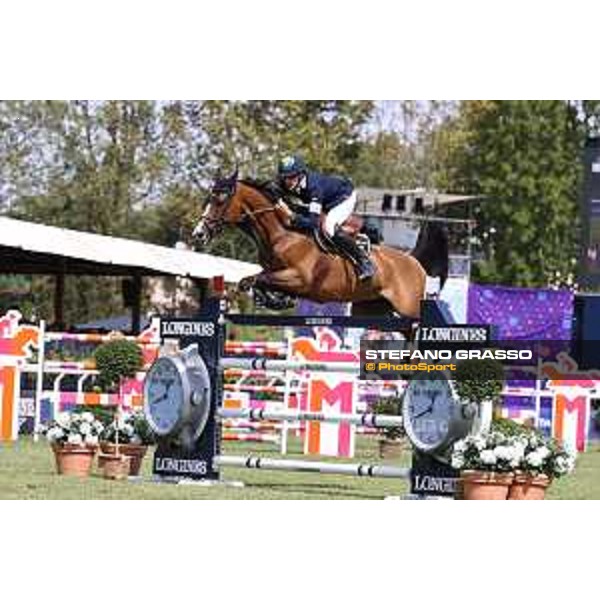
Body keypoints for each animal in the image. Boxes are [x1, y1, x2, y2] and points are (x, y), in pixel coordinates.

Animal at [195, 169, 448, 318]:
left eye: (220, 199)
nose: (198, 234)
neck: (282, 234)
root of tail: (414, 262)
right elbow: (254, 280)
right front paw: (273, 300)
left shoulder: (299, 279)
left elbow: (255, 279)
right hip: (370, 308)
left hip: (411, 308)